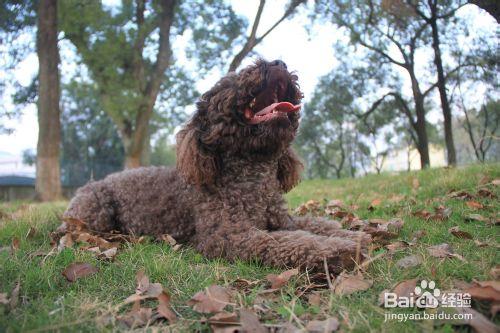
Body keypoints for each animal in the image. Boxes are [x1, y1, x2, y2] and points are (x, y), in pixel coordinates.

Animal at [63, 59, 372, 272]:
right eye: (233, 80)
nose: (278, 64)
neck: (253, 179)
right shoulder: (227, 236)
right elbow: (291, 241)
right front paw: (337, 249)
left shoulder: (285, 220)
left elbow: (318, 223)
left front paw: (352, 234)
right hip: (96, 210)